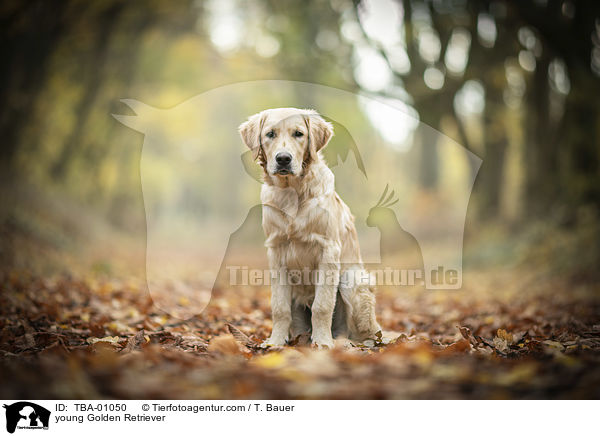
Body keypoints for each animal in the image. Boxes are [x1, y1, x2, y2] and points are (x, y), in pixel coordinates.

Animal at [239, 108, 380, 348]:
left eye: (299, 133)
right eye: (270, 134)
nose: (283, 159)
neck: (292, 193)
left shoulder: (329, 250)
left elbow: (322, 305)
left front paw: (322, 341)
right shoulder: (276, 251)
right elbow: (279, 307)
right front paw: (275, 341)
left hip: (352, 279)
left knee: (367, 334)